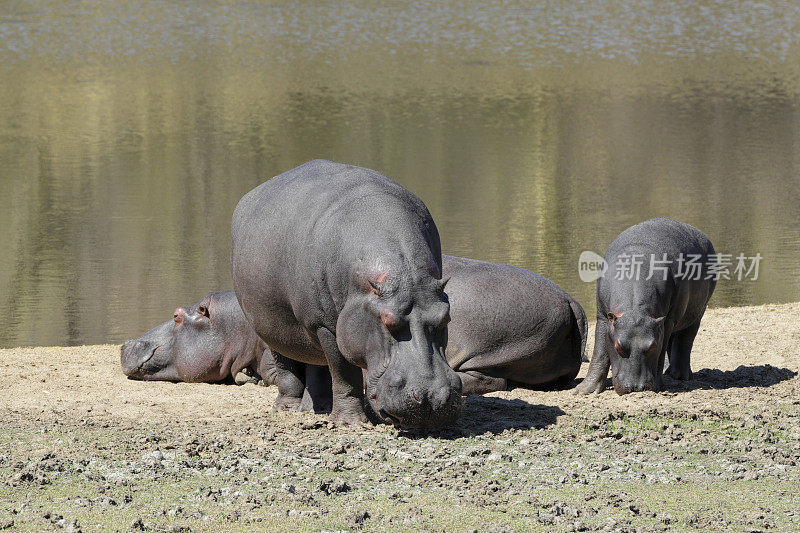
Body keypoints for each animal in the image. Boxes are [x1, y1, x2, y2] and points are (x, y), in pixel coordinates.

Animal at [228, 159, 460, 428]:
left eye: (446, 317)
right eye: (387, 321)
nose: (434, 399)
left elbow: (331, 372)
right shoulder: (326, 326)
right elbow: (344, 373)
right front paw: (352, 423)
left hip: (309, 329)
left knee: (317, 367)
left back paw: (318, 409)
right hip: (272, 325)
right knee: (286, 364)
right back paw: (288, 407)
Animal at [572, 217, 716, 394]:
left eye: (652, 346)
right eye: (618, 346)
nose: (636, 387)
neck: (634, 311)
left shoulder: (666, 322)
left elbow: (661, 352)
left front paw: (659, 386)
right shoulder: (604, 317)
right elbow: (599, 353)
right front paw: (584, 390)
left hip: (696, 313)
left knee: (685, 340)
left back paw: (681, 376)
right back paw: (671, 373)